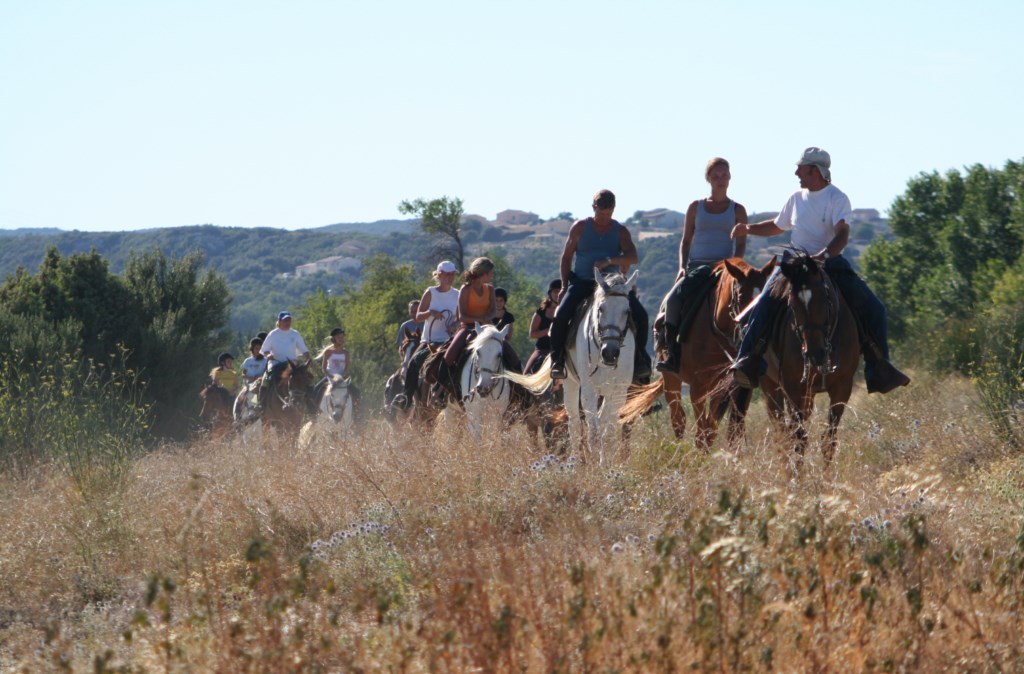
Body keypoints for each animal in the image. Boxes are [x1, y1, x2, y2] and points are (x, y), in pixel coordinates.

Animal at [501, 268, 634, 462]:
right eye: (600, 309)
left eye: (627, 311)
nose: (610, 352)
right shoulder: (588, 389)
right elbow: (592, 431)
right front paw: (594, 463)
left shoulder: (618, 391)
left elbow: (606, 430)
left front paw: (605, 463)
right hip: (570, 384)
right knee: (574, 424)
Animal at [614, 255, 774, 448]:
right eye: (741, 296)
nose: (752, 331)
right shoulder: (698, 387)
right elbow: (701, 431)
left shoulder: (722, 387)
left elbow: (710, 429)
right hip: (671, 380)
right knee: (678, 419)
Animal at [765, 248, 860, 465]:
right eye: (791, 302)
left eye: (823, 298)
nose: (814, 353)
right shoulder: (793, 390)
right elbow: (799, 440)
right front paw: (798, 474)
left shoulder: (843, 387)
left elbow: (829, 441)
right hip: (770, 388)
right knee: (782, 436)